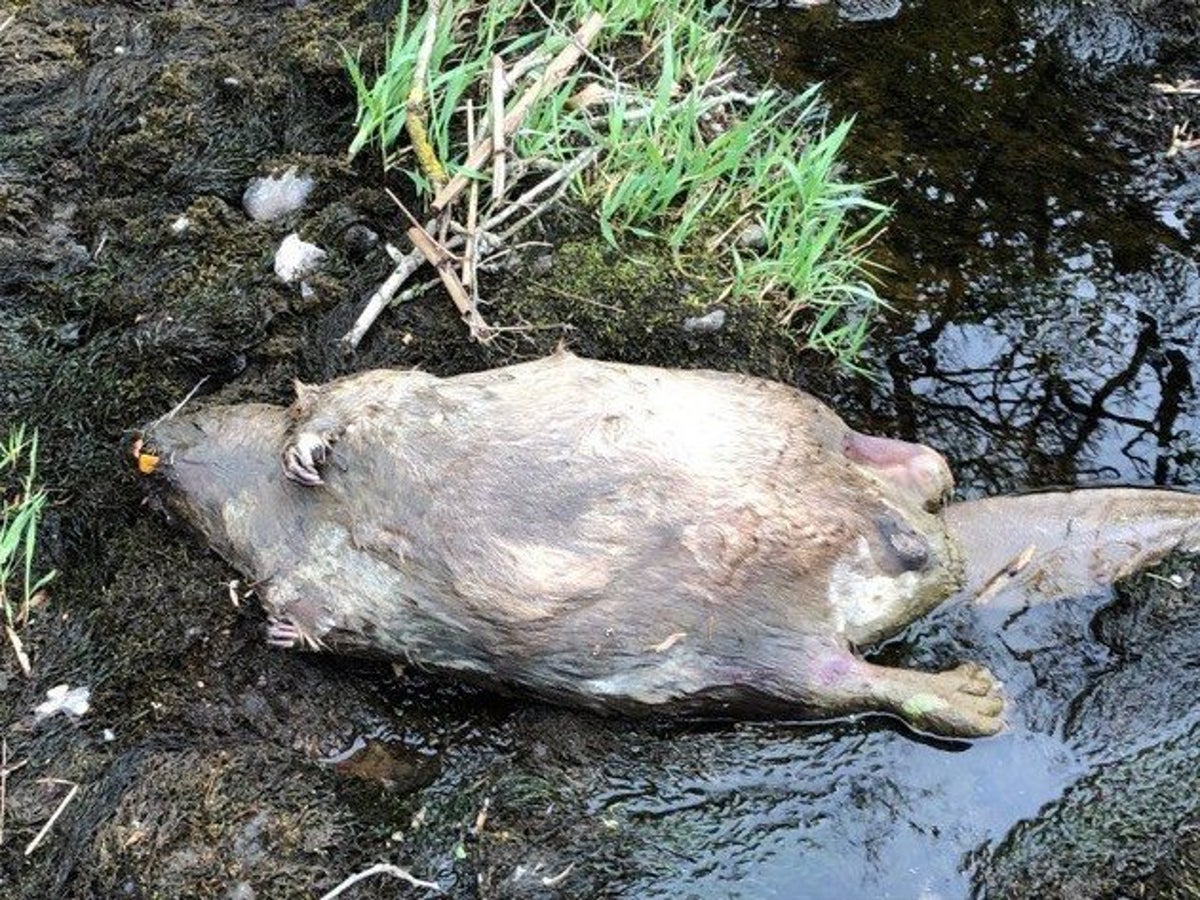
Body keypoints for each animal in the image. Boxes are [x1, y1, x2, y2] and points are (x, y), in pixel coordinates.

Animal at [136, 352, 1200, 739]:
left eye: (213, 412)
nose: (151, 438)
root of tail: (943, 553)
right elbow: (315, 605)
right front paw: (282, 620)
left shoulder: (397, 395)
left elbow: (361, 394)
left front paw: (312, 445)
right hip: (762, 643)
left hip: (770, 465)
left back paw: (975, 695)